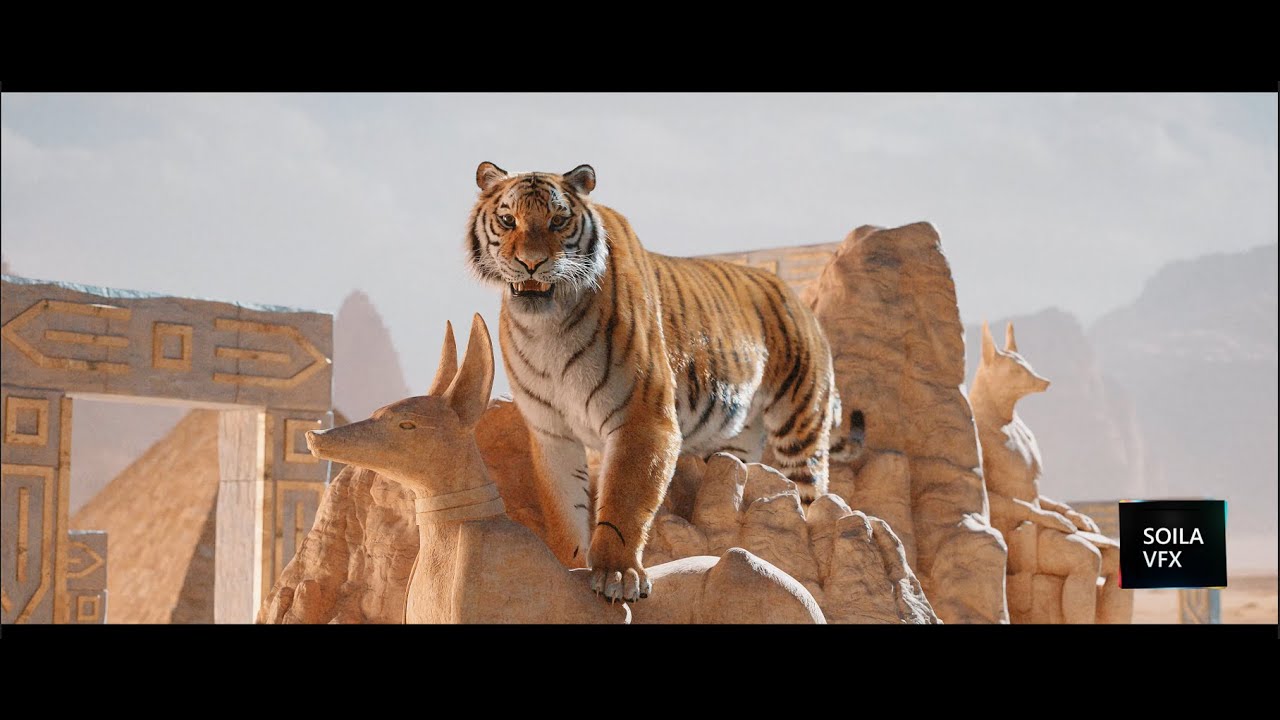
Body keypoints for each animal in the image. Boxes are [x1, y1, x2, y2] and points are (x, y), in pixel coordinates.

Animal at [465, 161, 862, 602]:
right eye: (508, 220)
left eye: (558, 220)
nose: (531, 263)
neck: (546, 327)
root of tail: (799, 299)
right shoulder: (551, 432)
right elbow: (564, 510)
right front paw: (569, 569)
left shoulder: (642, 419)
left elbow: (623, 502)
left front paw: (617, 575)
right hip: (734, 444)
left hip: (800, 424)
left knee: (812, 496)